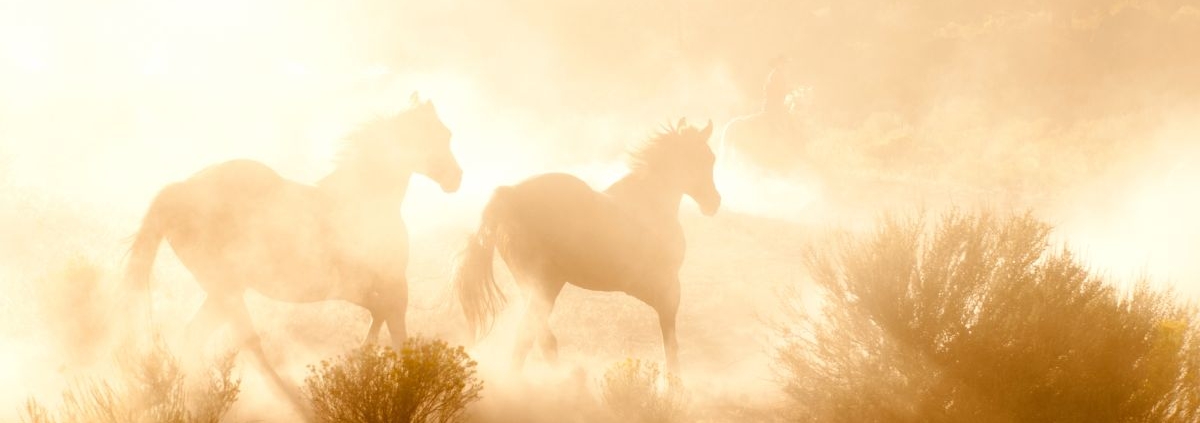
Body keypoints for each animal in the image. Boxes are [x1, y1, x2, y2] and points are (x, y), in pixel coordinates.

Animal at [123, 91, 460, 411]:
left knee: (197, 336)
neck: (363, 199)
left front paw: (365, 360)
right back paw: (293, 404)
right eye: (439, 134)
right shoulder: (379, 284)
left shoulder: (366, 287)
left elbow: (382, 318)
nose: (456, 178)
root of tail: (180, 190)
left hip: (224, 289)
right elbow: (395, 328)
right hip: (226, 287)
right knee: (248, 344)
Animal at [452, 118, 719, 374]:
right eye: (706, 159)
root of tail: (508, 195)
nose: (714, 202)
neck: (649, 204)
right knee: (529, 335)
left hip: (536, 285)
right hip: (544, 283)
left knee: (539, 338)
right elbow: (671, 343)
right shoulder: (666, 287)